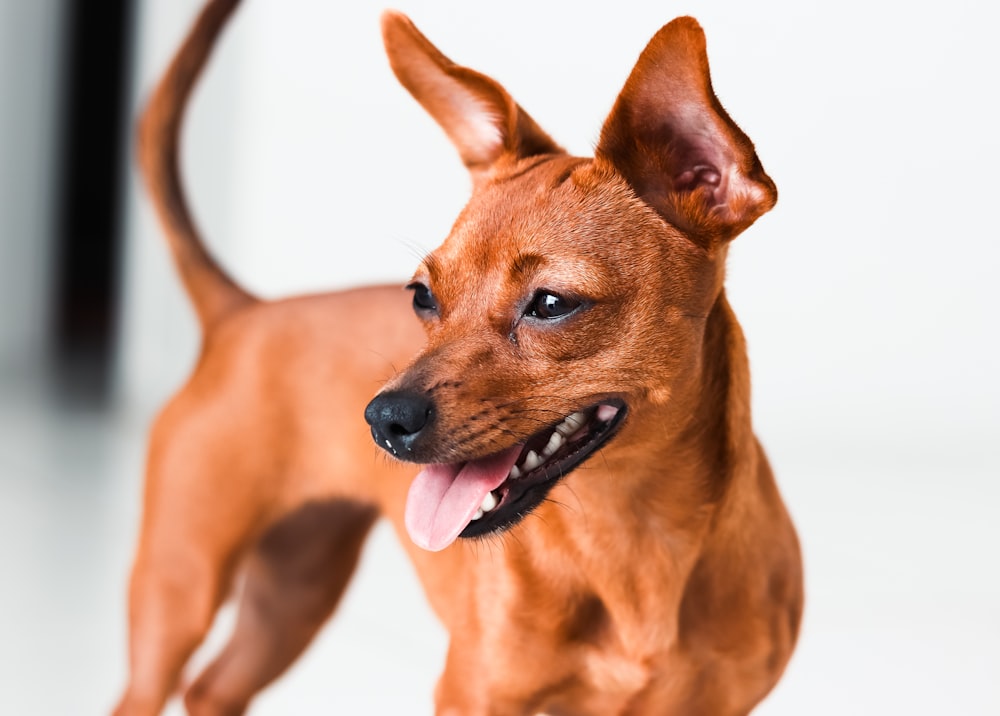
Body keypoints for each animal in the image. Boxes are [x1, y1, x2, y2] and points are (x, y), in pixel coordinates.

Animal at [115, 0, 804, 712]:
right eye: (422, 296)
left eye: (551, 303)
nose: (383, 419)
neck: (633, 535)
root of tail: (241, 312)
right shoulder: (473, 691)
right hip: (180, 591)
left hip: (293, 592)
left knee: (213, 688)